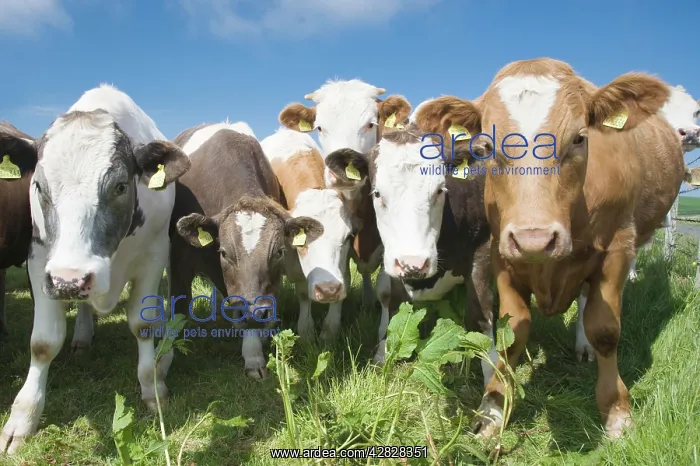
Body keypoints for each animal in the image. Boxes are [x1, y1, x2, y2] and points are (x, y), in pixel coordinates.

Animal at [0, 83, 191, 455]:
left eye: (120, 186)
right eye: (40, 187)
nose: (70, 280)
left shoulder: (155, 255)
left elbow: (143, 325)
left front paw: (153, 389)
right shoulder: (41, 261)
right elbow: (43, 342)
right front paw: (22, 419)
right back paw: (83, 335)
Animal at [169, 122, 323, 379]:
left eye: (279, 251)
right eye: (224, 252)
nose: (253, 313)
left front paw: (253, 354)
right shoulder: (179, 257)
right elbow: (178, 306)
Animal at [260, 128, 367, 341]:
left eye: (348, 237)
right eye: (300, 239)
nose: (328, 290)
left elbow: (345, 279)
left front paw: (330, 328)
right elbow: (302, 291)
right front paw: (306, 330)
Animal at [353, 115, 498, 386]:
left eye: (440, 190)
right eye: (377, 193)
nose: (414, 264)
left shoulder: (482, 249)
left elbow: (481, 317)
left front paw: (494, 388)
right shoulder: (393, 264)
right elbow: (392, 304)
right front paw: (382, 354)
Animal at [415, 57, 685, 440]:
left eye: (580, 138)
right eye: (486, 147)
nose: (535, 239)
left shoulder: (619, 247)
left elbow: (605, 329)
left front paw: (616, 412)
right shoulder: (501, 252)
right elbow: (512, 333)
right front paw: (493, 408)